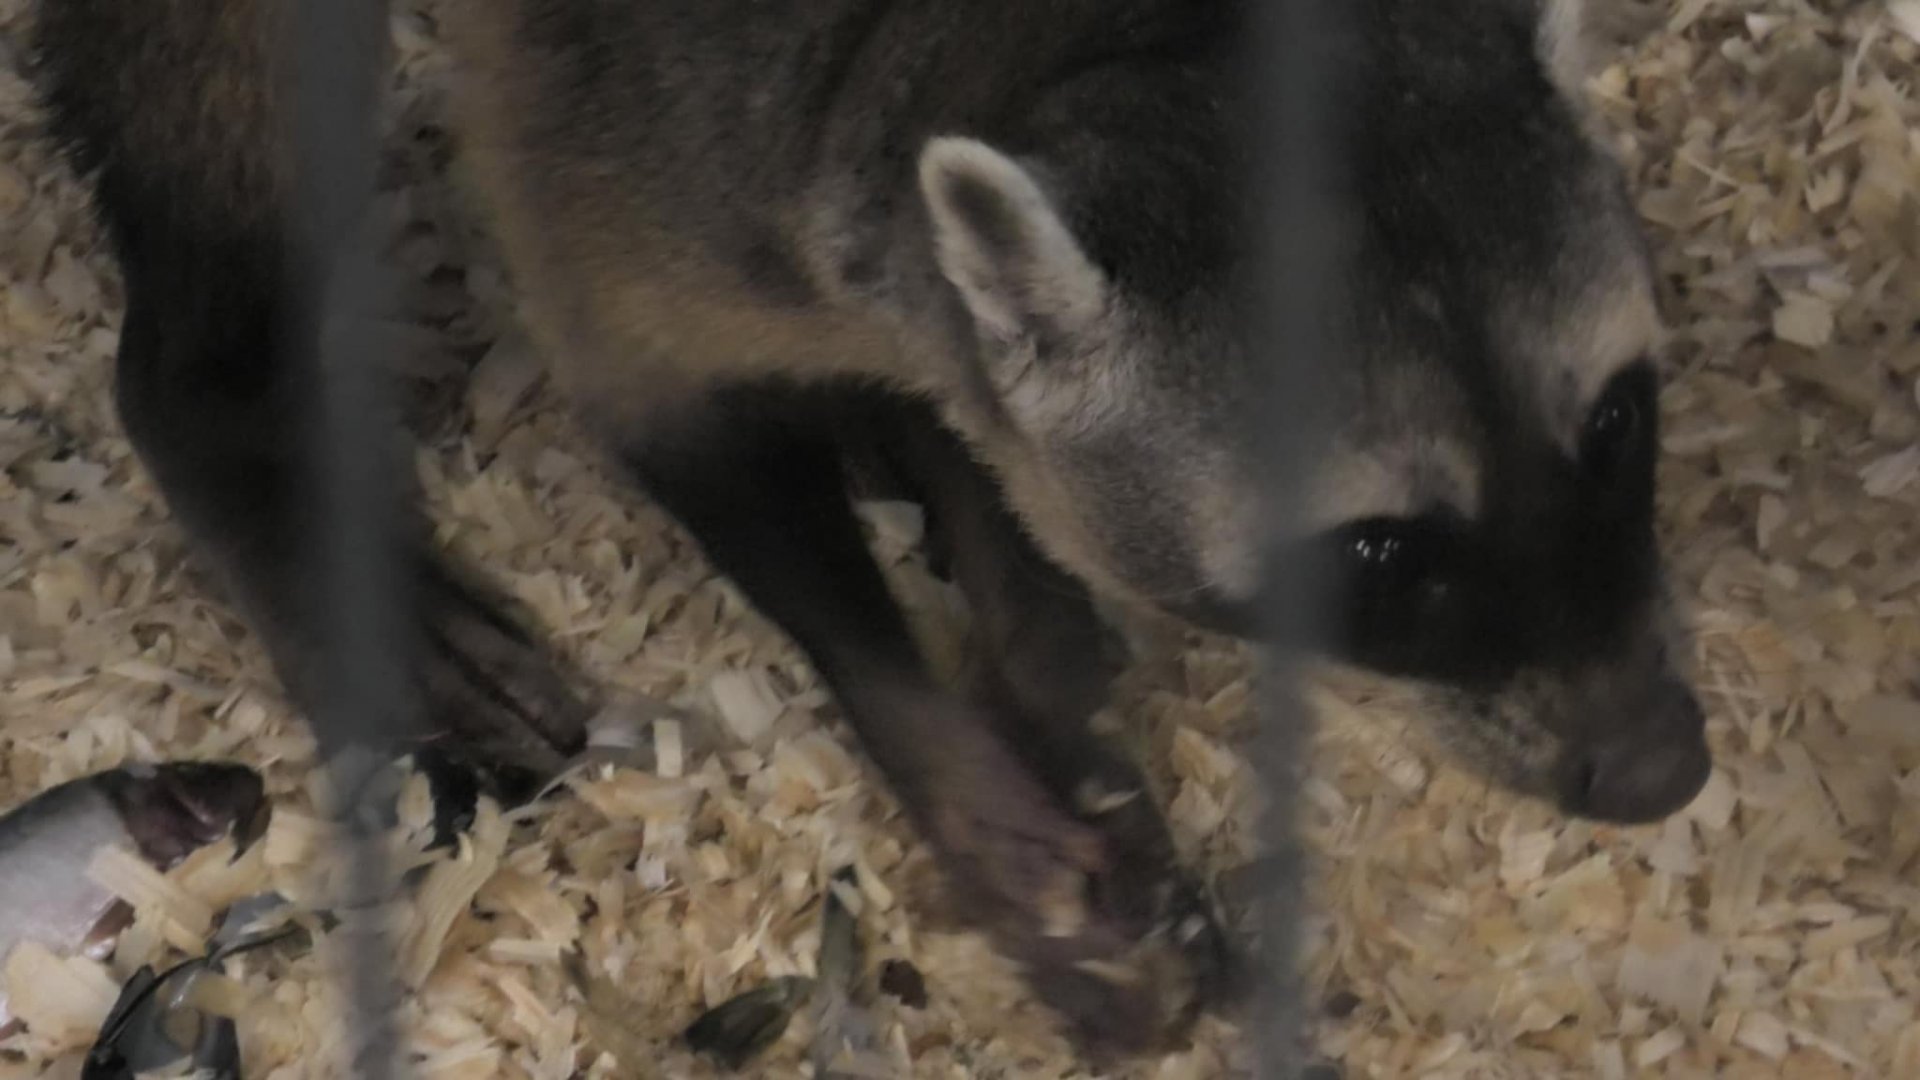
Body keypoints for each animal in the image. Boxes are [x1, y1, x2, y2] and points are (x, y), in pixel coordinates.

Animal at [30, 0, 1709, 1057]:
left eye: (1614, 425)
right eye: (1378, 553)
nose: (1655, 772)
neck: (1105, 35)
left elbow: (980, 440)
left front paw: (1033, 638)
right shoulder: (631, 151)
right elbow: (686, 428)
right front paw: (968, 776)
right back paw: (215, 388)